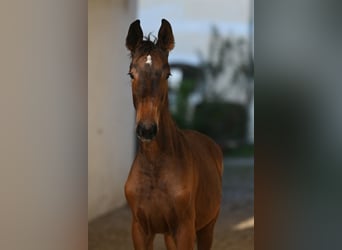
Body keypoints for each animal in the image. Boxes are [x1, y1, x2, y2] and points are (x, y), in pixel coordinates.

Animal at [124, 18, 223, 249]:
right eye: (131, 74)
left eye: (167, 74)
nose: (147, 129)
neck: (155, 168)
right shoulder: (140, 230)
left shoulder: (184, 229)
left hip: (207, 227)